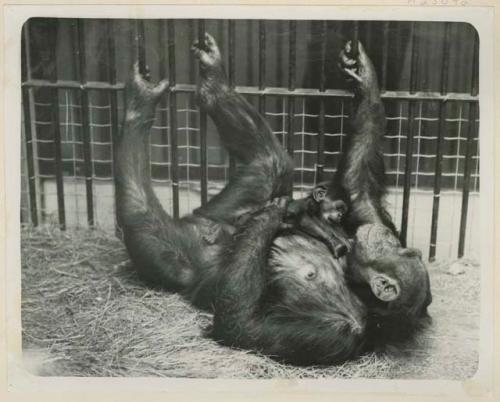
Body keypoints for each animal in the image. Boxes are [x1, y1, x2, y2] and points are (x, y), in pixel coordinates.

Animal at [115, 33, 432, 366]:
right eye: (402, 248)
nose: (386, 238)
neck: (350, 278)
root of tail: (201, 222)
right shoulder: (362, 217)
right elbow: (357, 183)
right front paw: (363, 75)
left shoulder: (339, 332)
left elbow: (241, 326)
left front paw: (271, 216)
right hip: (240, 196)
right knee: (272, 160)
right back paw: (211, 83)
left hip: (172, 253)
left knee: (143, 218)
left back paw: (139, 104)